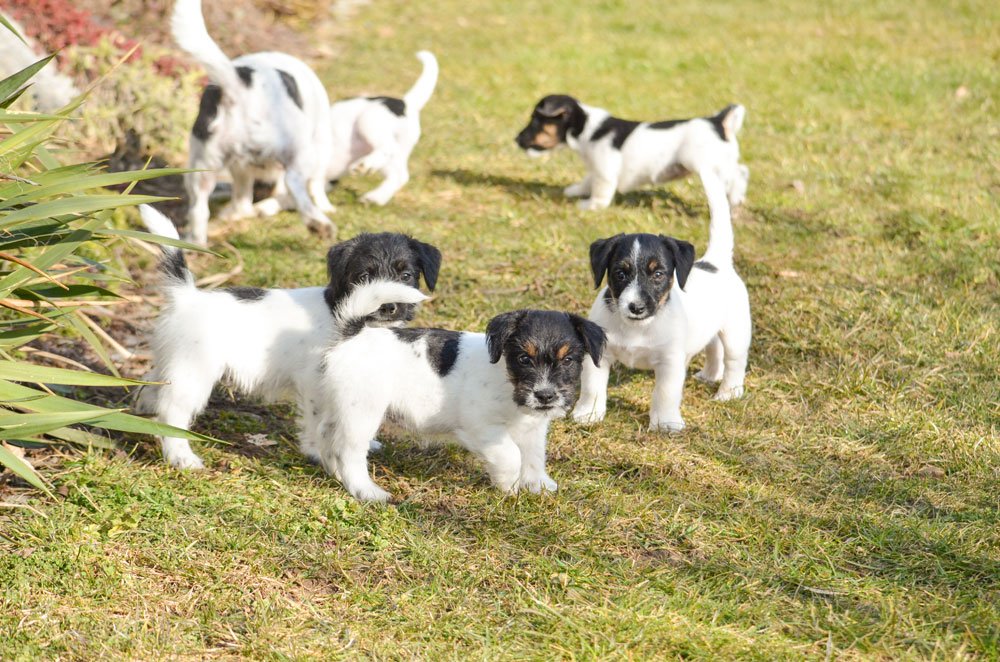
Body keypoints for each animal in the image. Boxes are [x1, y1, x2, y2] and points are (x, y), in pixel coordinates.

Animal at [137, 205, 442, 470]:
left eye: (406, 275)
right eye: (364, 276)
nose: (389, 306)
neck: (339, 310)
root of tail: (186, 296)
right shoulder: (314, 383)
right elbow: (318, 421)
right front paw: (316, 451)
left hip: (173, 363)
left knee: (153, 390)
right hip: (194, 372)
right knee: (172, 411)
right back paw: (181, 456)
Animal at [176, 0, 336, 246]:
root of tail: (239, 86)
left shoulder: (239, 168)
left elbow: (242, 195)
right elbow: (316, 186)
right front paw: (325, 206)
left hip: (201, 164)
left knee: (199, 208)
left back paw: (197, 243)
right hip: (302, 151)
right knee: (294, 183)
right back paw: (318, 224)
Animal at [254, 52, 438, 213]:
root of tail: (404, 103)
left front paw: (263, 207)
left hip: (368, 122)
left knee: (388, 148)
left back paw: (366, 166)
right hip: (395, 153)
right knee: (399, 176)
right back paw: (375, 197)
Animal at [314, 282, 608, 504]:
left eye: (568, 360)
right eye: (524, 359)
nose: (545, 396)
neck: (507, 379)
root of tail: (352, 335)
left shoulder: (533, 428)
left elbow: (534, 455)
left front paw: (538, 483)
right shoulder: (483, 427)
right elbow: (511, 454)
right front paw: (509, 486)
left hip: (340, 409)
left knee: (327, 439)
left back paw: (335, 474)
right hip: (362, 414)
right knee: (349, 453)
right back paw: (367, 491)